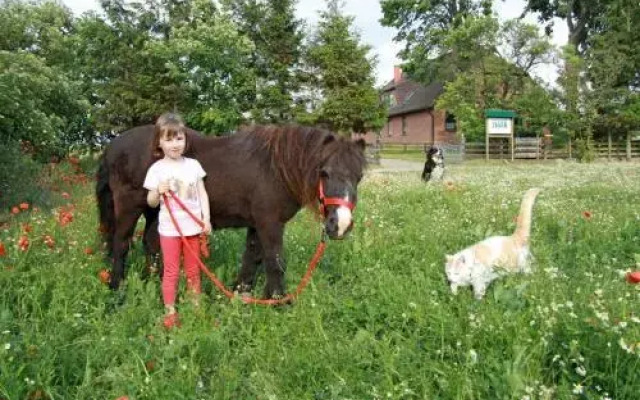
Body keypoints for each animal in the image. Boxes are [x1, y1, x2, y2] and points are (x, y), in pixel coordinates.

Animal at [95, 124, 364, 296]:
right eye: (324, 173)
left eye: (359, 176)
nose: (340, 225)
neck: (275, 169)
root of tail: (112, 146)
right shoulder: (270, 223)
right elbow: (275, 261)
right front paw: (279, 301)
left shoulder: (258, 224)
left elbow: (253, 258)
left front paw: (241, 294)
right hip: (129, 206)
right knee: (121, 244)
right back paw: (117, 289)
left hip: (155, 210)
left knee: (151, 244)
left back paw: (154, 282)